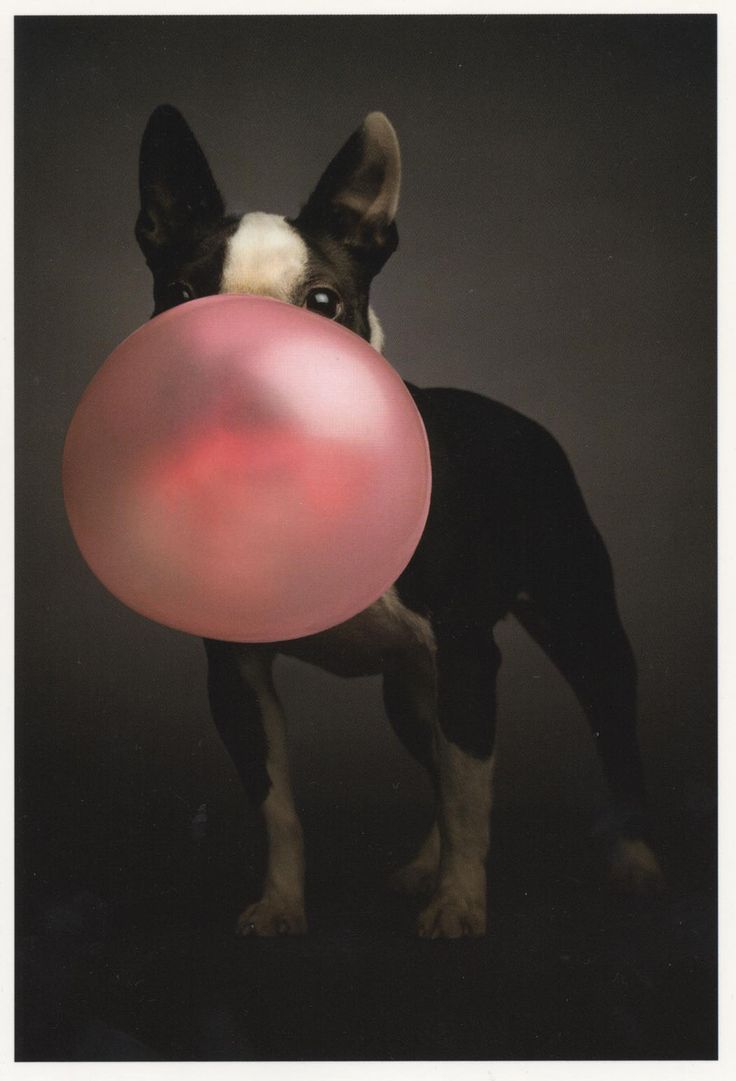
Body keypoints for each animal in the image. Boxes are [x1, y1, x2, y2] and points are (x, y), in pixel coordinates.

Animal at [135, 103, 661, 938]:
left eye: (323, 302)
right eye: (182, 293)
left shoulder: (470, 654)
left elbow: (472, 797)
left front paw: (460, 904)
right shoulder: (237, 672)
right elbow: (279, 805)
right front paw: (282, 904)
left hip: (579, 625)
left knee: (607, 734)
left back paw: (634, 860)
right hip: (412, 691)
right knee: (438, 763)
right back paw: (423, 864)